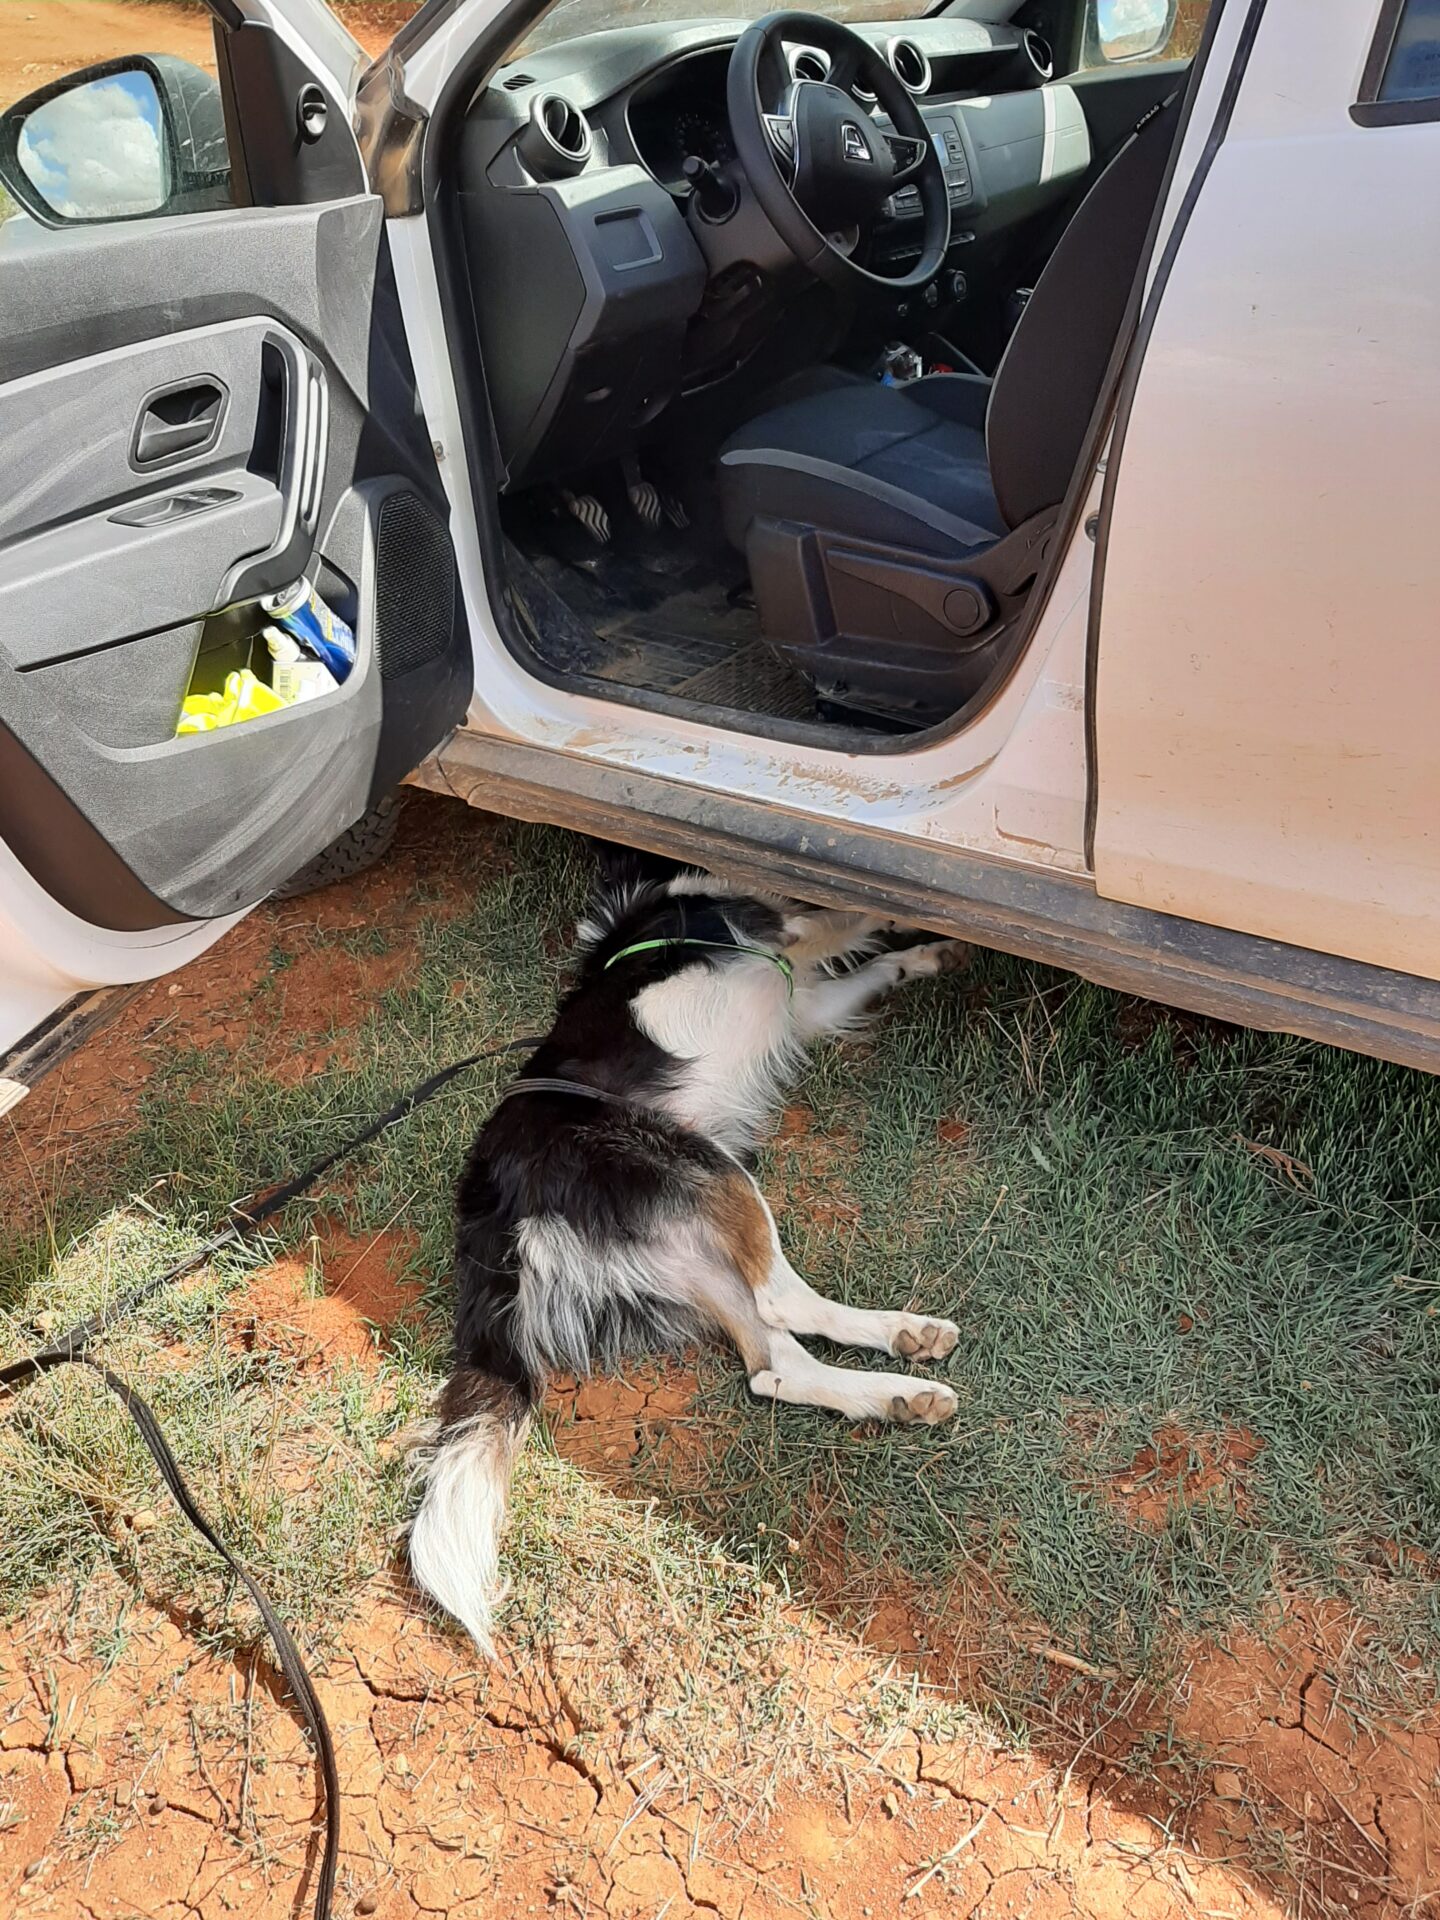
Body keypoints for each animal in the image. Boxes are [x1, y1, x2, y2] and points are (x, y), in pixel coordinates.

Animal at [408, 871, 971, 1651]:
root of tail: (493, 1203)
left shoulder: (802, 1003)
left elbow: (864, 970)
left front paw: (924, 956)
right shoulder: (779, 936)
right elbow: (845, 918)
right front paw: (907, 921)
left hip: (686, 1254)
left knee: (773, 1367)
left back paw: (898, 1384)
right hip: (704, 1165)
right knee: (781, 1301)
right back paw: (902, 1346)